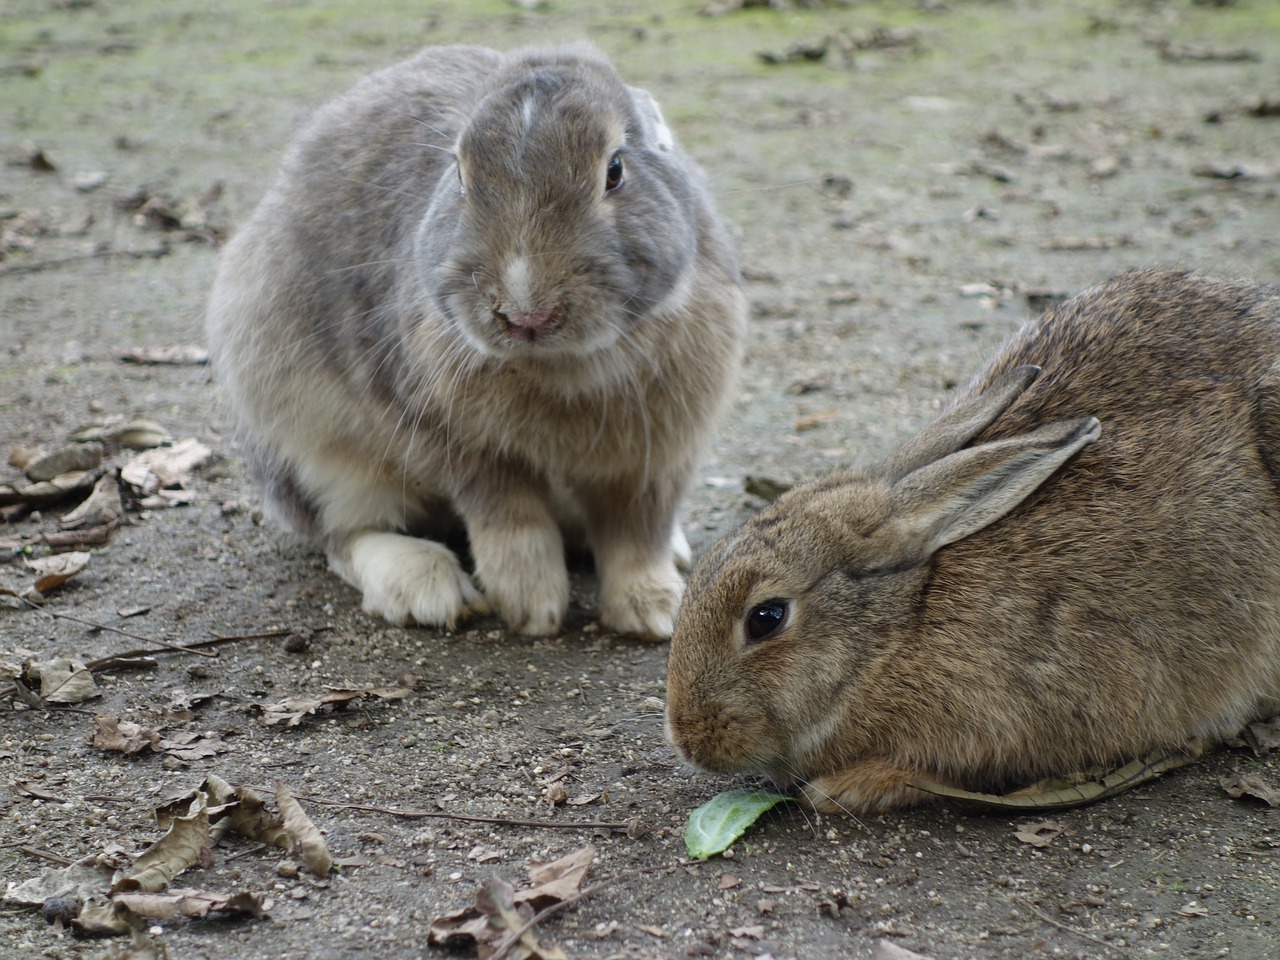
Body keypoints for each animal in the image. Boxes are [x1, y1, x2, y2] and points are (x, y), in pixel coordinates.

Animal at [204, 43, 747, 640]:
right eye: (460, 174)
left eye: (615, 170)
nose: (526, 313)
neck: (559, 363)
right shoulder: (460, 444)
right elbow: (509, 519)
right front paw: (532, 607)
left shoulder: (656, 457)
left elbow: (637, 531)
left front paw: (654, 612)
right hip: (308, 446)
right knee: (342, 534)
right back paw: (426, 586)